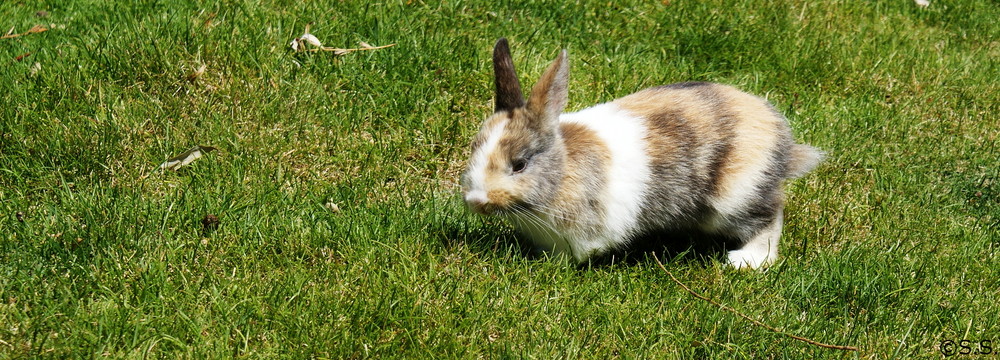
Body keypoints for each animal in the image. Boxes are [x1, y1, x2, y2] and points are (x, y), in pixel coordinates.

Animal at [460, 38, 820, 270]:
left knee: (770, 217)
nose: (476, 201)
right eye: (474, 149)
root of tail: (781, 140)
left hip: (735, 199)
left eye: (519, 164)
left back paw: (746, 261)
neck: (562, 172)